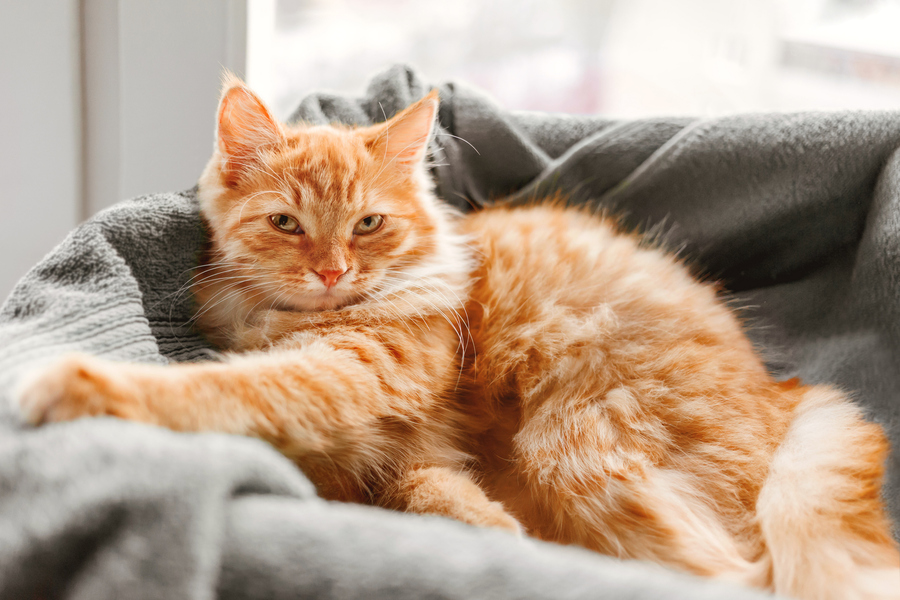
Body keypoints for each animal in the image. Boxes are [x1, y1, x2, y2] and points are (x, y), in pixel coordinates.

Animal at [15, 77, 900, 596]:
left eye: (367, 224)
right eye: (286, 223)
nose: (332, 272)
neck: (305, 319)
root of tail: (787, 391)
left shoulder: (352, 372)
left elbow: (225, 389)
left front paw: (77, 386)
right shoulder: (399, 463)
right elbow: (439, 496)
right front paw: (489, 529)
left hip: (582, 444)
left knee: (735, 577)